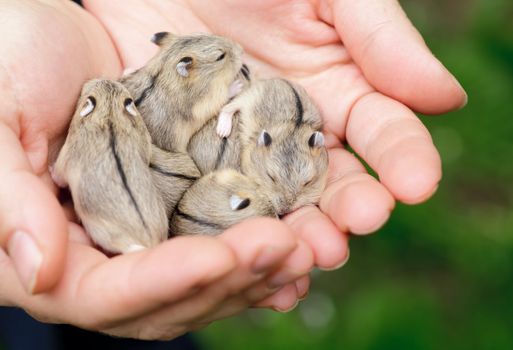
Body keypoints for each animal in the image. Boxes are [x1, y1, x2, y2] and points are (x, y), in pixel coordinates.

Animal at [53, 79, 167, 254]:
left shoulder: (66, 154)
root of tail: (151, 241)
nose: (90, 81)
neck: (109, 115)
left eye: (86, 94)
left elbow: (58, 176)